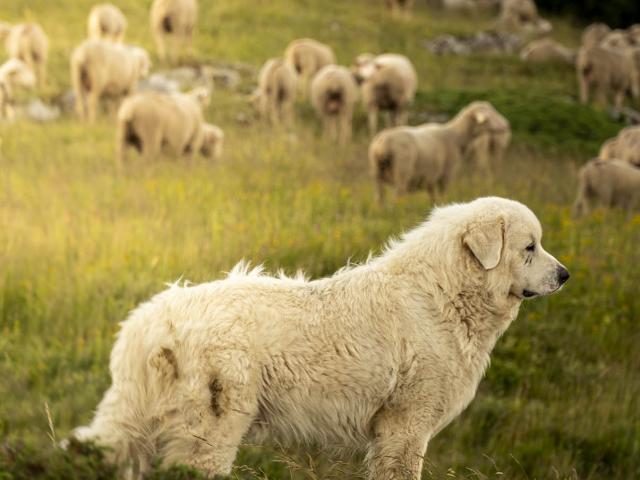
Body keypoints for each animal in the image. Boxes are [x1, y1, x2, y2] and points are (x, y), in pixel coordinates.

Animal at [70, 197, 568, 478]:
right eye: (530, 247)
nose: (565, 275)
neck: (444, 293)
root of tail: (149, 320)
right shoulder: (407, 425)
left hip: (146, 417)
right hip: (211, 427)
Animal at [368, 100, 508, 205]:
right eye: (489, 116)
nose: (506, 125)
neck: (456, 136)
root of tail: (384, 142)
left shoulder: (431, 176)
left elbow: (433, 196)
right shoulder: (446, 172)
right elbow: (443, 194)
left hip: (376, 171)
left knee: (379, 195)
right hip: (402, 170)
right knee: (397, 196)